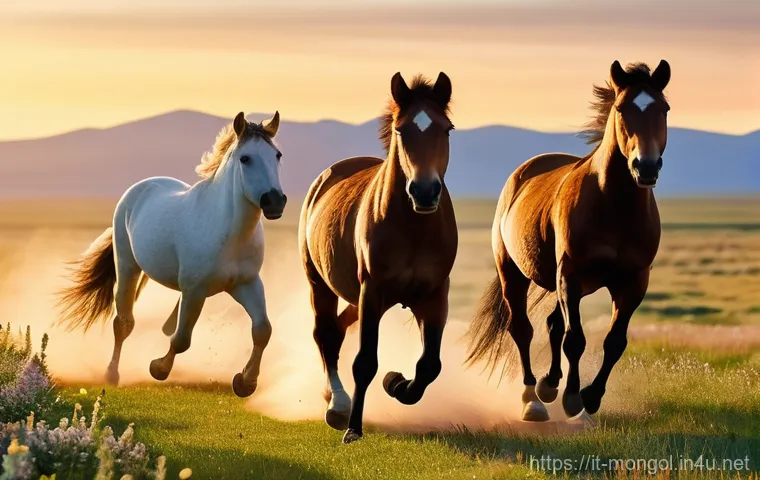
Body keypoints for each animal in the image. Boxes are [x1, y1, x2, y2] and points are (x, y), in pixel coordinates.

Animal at [56, 111, 287, 398]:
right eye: (245, 158)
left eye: (277, 155)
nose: (275, 201)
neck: (228, 231)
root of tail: (141, 187)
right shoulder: (195, 290)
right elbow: (181, 339)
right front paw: (158, 368)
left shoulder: (246, 284)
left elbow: (262, 330)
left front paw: (245, 383)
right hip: (127, 266)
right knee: (123, 322)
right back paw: (111, 374)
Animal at [299, 72, 458, 443]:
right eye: (401, 130)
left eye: (446, 129)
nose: (424, 191)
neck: (413, 227)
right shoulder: (372, 292)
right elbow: (365, 363)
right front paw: (353, 428)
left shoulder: (434, 296)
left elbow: (429, 365)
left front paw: (396, 383)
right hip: (320, 284)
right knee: (325, 334)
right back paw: (338, 406)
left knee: (337, 330)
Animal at [465, 60, 671, 422]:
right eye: (621, 108)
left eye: (664, 109)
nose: (645, 167)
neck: (615, 206)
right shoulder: (571, 275)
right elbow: (575, 339)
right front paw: (573, 397)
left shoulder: (633, 282)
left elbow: (614, 342)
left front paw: (591, 397)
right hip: (515, 275)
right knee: (524, 330)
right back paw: (532, 399)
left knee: (552, 324)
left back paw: (549, 385)